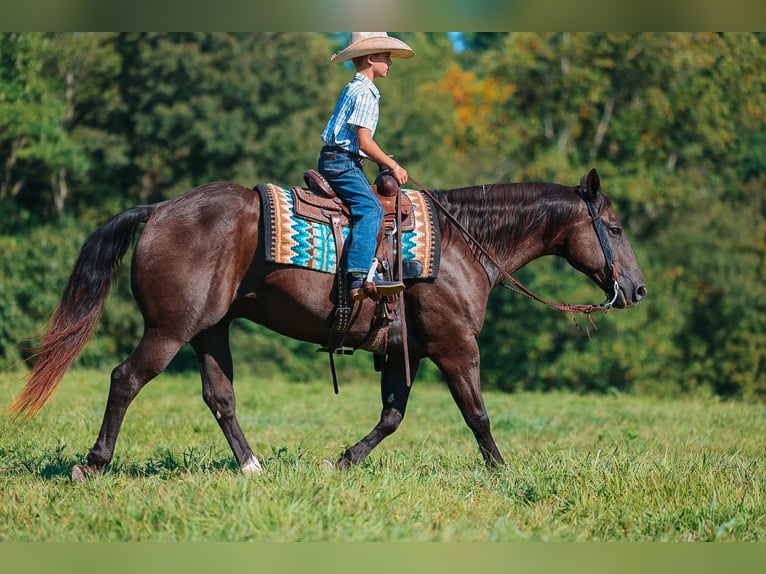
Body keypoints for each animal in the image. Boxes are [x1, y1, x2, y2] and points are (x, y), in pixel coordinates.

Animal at [7, 168, 646, 480]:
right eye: (614, 228)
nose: (637, 290)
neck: (465, 244)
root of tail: (159, 209)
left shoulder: (402, 352)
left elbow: (391, 417)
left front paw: (341, 461)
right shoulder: (455, 346)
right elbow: (478, 414)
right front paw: (505, 473)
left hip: (210, 330)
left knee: (220, 396)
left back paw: (252, 467)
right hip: (169, 329)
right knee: (126, 379)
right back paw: (93, 464)